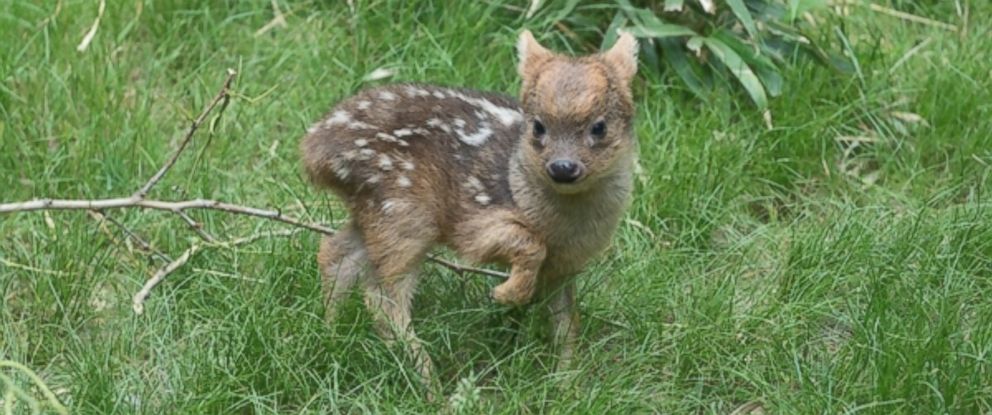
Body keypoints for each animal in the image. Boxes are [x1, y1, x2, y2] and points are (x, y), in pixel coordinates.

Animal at [300, 30, 636, 390]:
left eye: (599, 127)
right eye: (538, 126)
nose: (562, 167)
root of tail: (314, 151)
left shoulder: (566, 265)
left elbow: (567, 321)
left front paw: (565, 383)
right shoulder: (475, 220)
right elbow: (528, 244)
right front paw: (505, 294)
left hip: (375, 211)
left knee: (335, 252)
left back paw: (329, 333)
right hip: (404, 210)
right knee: (382, 296)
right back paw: (430, 384)